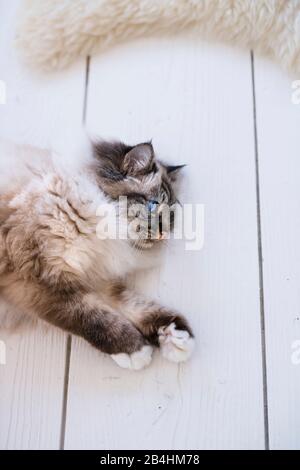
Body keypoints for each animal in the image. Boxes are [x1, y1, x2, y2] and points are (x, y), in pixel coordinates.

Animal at [0, 138, 195, 370]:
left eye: (171, 217)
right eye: (152, 205)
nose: (163, 234)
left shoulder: (94, 273)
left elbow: (133, 304)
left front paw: (175, 335)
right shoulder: (37, 280)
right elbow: (91, 317)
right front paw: (134, 350)